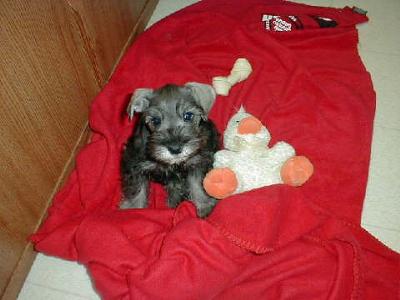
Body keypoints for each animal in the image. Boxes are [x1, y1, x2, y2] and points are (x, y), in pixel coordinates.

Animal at [120, 82, 220, 218]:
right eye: (156, 120)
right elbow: (137, 189)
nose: (175, 148)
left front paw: (204, 205)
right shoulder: (135, 164)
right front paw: (133, 209)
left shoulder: (198, 161)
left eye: (188, 116)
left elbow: (198, 184)